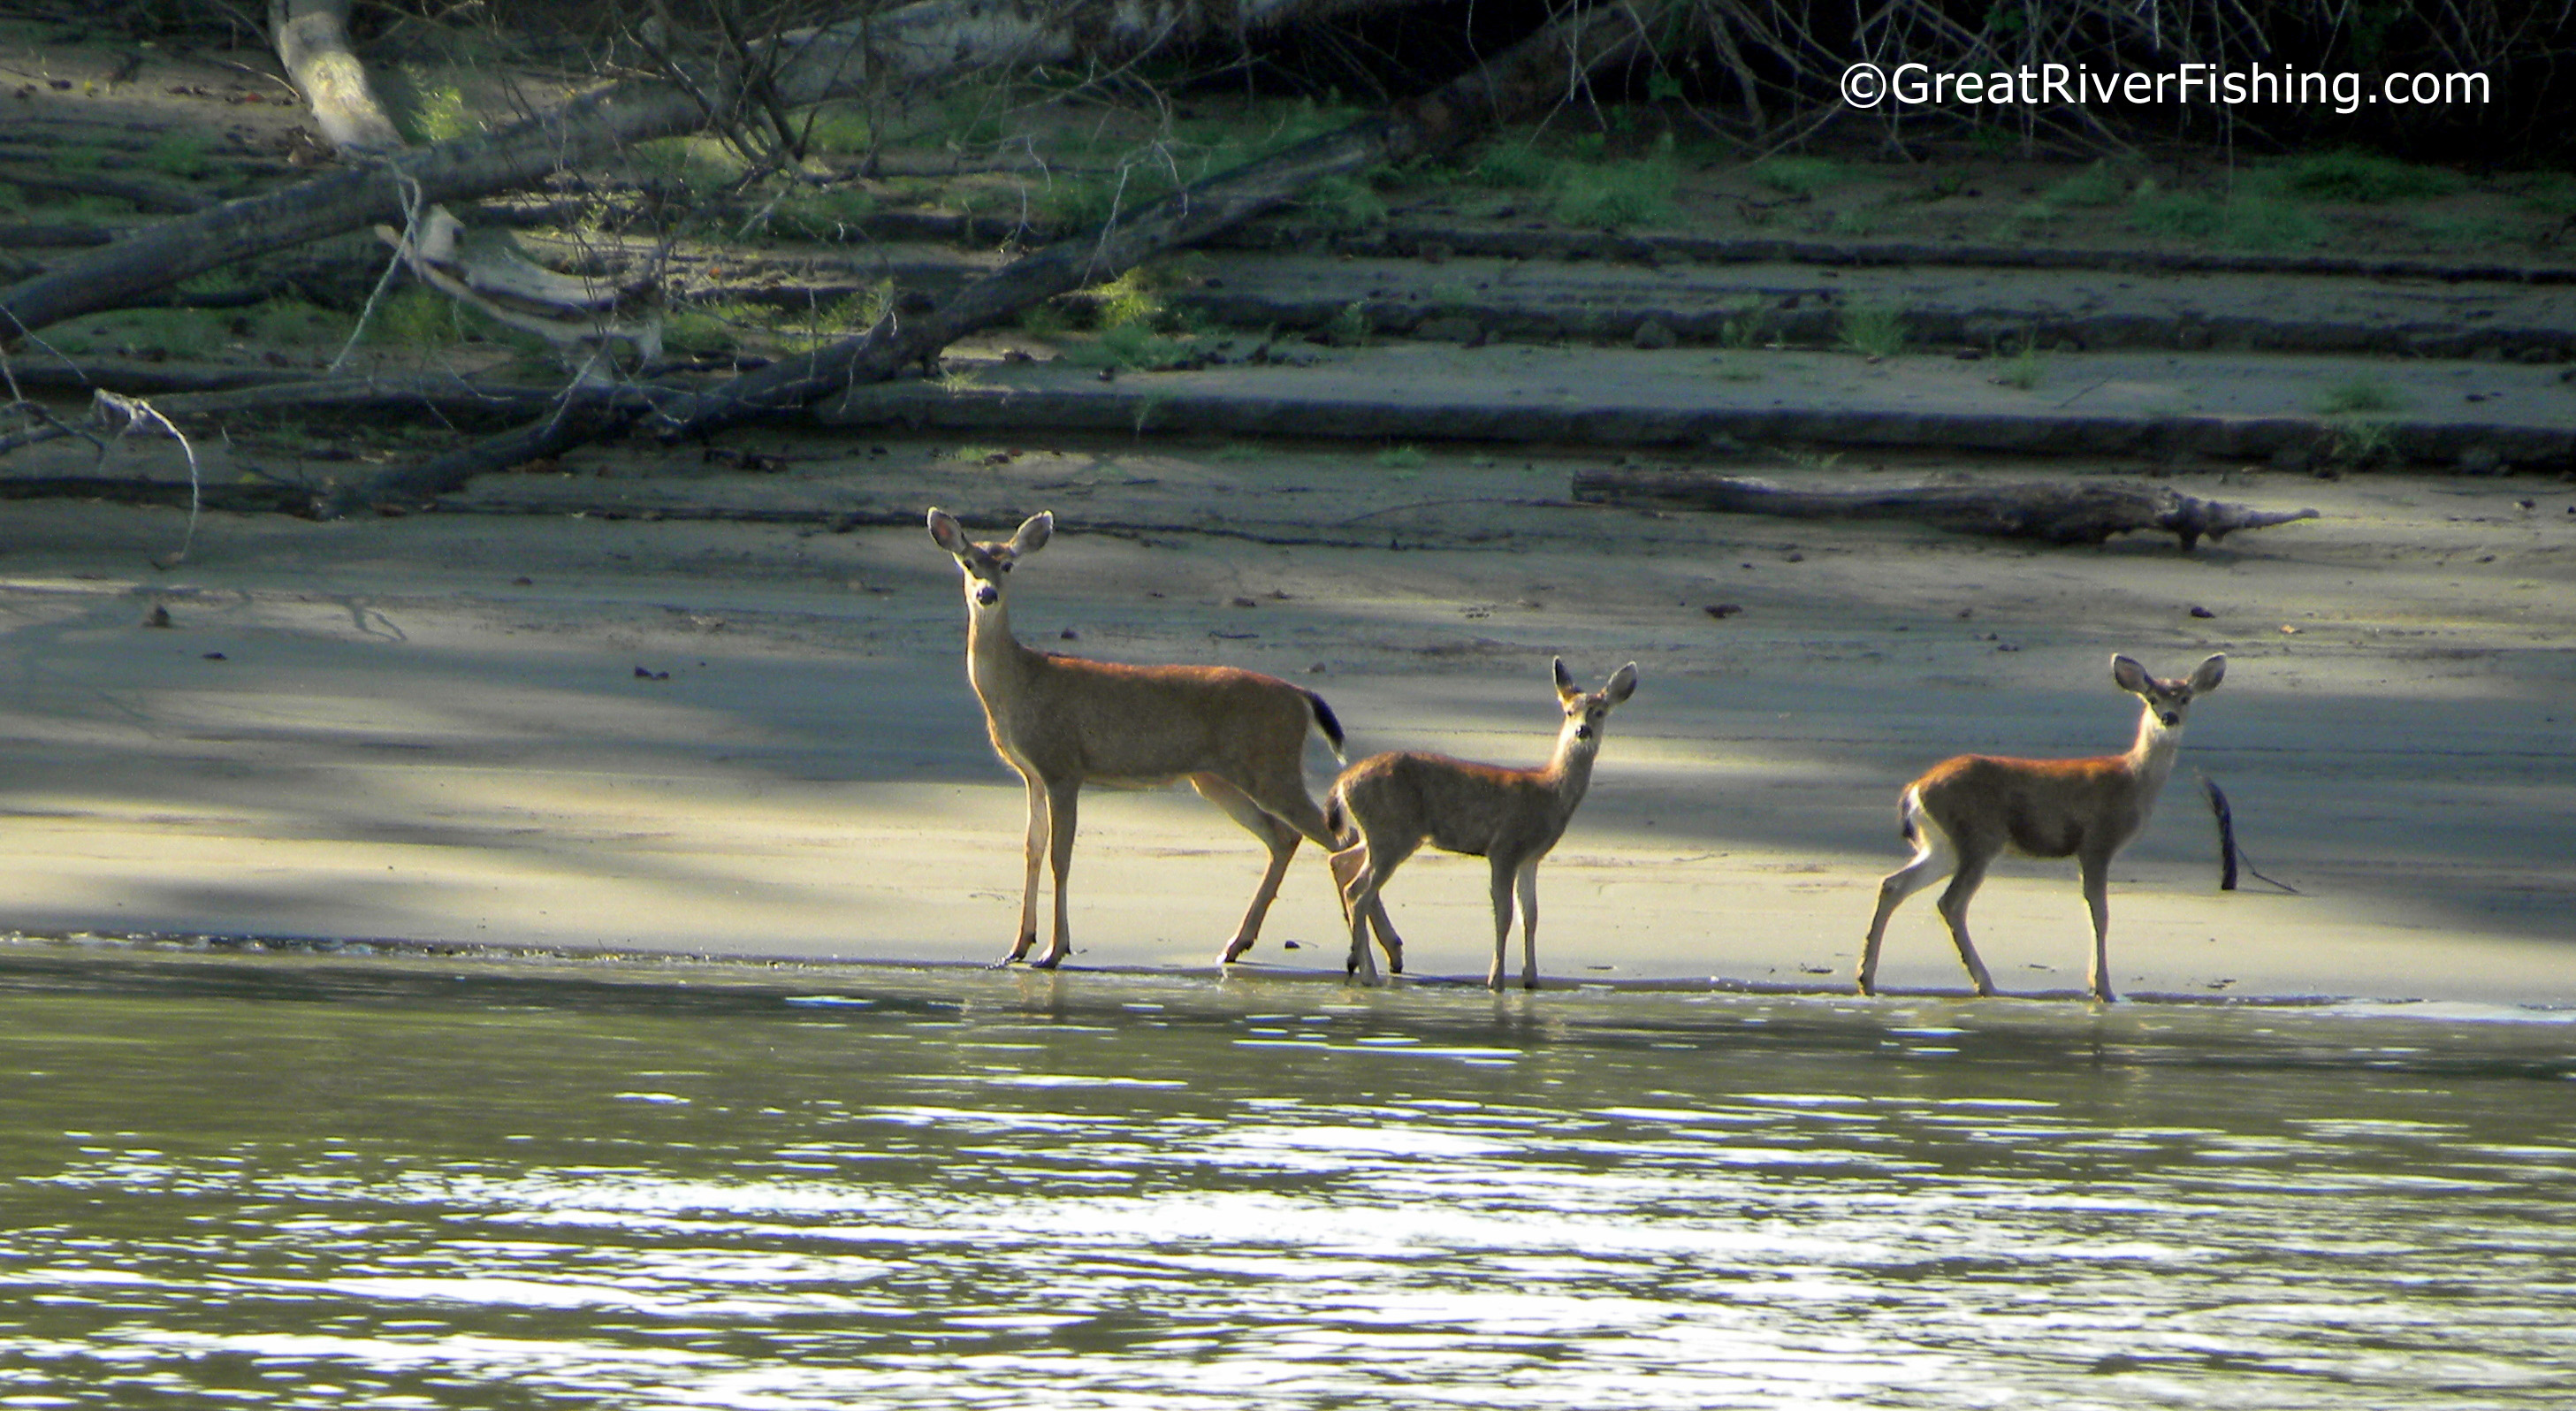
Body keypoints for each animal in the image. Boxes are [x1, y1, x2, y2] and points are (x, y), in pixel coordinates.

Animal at [926, 508, 1349, 970]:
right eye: (969, 564)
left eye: (1007, 565)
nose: (986, 594)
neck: (1020, 683)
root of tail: (1301, 697)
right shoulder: (1032, 773)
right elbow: (1032, 849)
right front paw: (1018, 946)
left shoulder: (1063, 765)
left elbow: (1061, 856)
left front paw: (1055, 950)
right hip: (1218, 778)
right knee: (1285, 837)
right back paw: (1235, 945)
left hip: (1271, 765)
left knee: (1338, 838)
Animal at [1327, 659, 1640, 991]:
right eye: (1569, 711)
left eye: (1599, 711)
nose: (1583, 730)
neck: (1549, 792)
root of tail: (1343, 782)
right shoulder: (1504, 847)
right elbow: (1504, 914)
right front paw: (1496, 980)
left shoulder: (1530, 857)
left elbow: (1531, 915)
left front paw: (1531, 979)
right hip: (1392, 833)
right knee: (1357, 891)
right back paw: (1368, 974)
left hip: (1381, 834)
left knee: (1341, 863)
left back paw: (1362, 964)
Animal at [1857, 652, 2227, 1004]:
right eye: (2152, 698)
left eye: (2185, 698)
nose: (2169, 718)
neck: (2132, 780)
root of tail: (1916, 788)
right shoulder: (2097, 841)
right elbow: (2100, 912)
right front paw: (2104, 990)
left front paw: (2098, 986)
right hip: (1979, 837)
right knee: (1951, 902)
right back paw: (1986, 983)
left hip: (1942, 845)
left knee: (1893, 884)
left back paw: (1867, 978)